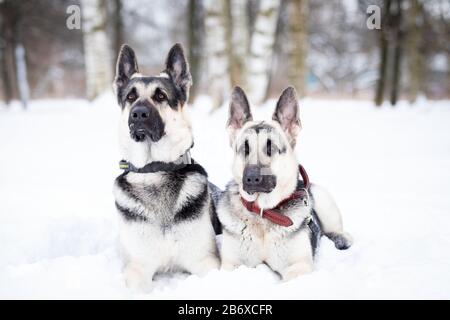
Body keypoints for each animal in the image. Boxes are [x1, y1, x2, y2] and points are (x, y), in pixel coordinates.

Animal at [111, 43, 219, 290]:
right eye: (131, 96)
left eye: (160, 96)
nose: (138, 114)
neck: (155, 170)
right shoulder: (137, 268)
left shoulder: (205, 262)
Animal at [216, 85, 354, 280]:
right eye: (245, 148)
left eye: (270, 148)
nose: (251, 178)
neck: (263, 215)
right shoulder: (231, 266)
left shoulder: (299, 267)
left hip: (324, 199)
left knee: (338, 231)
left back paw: (341, 238)